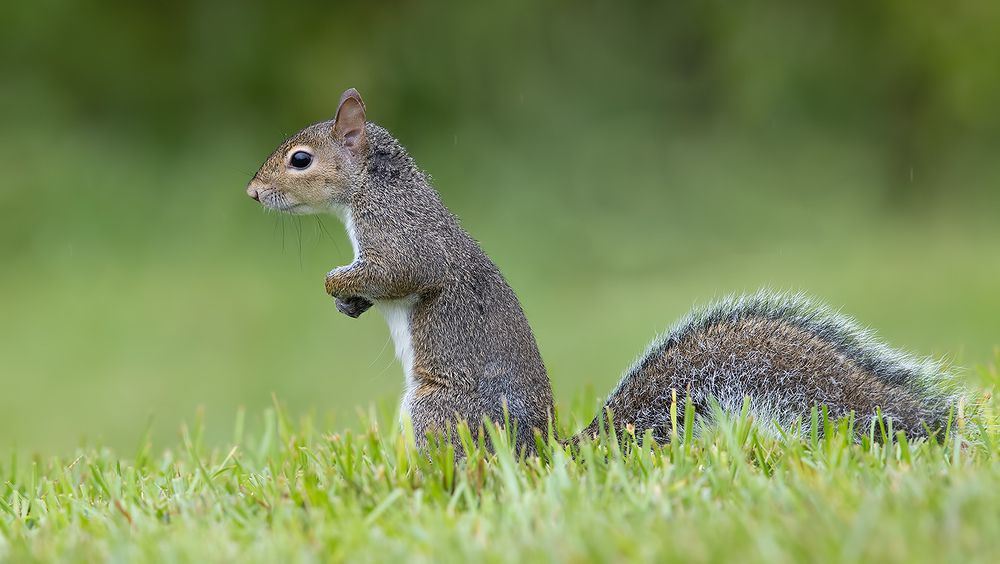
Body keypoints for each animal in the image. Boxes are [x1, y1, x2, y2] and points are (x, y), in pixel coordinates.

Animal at [247, 88, 959, 453]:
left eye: (301, 159)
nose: (253, 194)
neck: (374, 188)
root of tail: (543, 456)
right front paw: (348, 302)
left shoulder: (404, 240)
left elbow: (397, 273)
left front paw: (336, 285)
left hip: (436, 412)